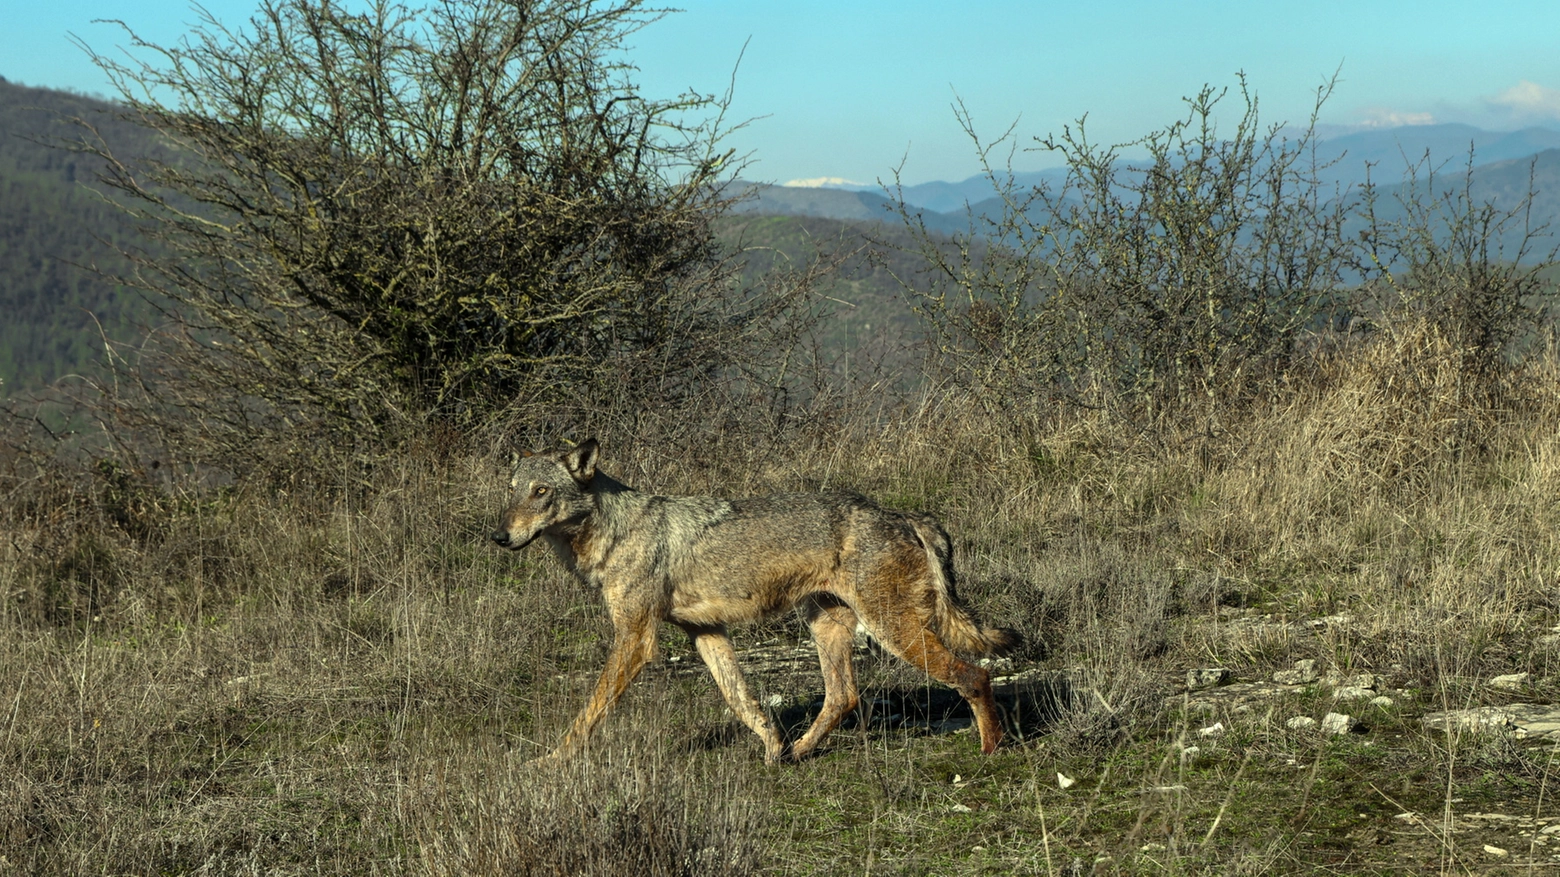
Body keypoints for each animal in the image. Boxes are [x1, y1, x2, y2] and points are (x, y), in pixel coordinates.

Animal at [489, 440, 1023, 761]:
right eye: (511, 491)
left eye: (541, 492)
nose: (498, 536)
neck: (612, 535)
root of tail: (906, 515)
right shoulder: (705, 631)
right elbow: (742, 699)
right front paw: (773, 748)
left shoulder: (636, 638)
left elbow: (590, 711)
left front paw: (554, 760)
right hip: (826, 628)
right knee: (844, 697)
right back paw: (801, 751)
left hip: (893, 631)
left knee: (974, 676)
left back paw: (991, 752)